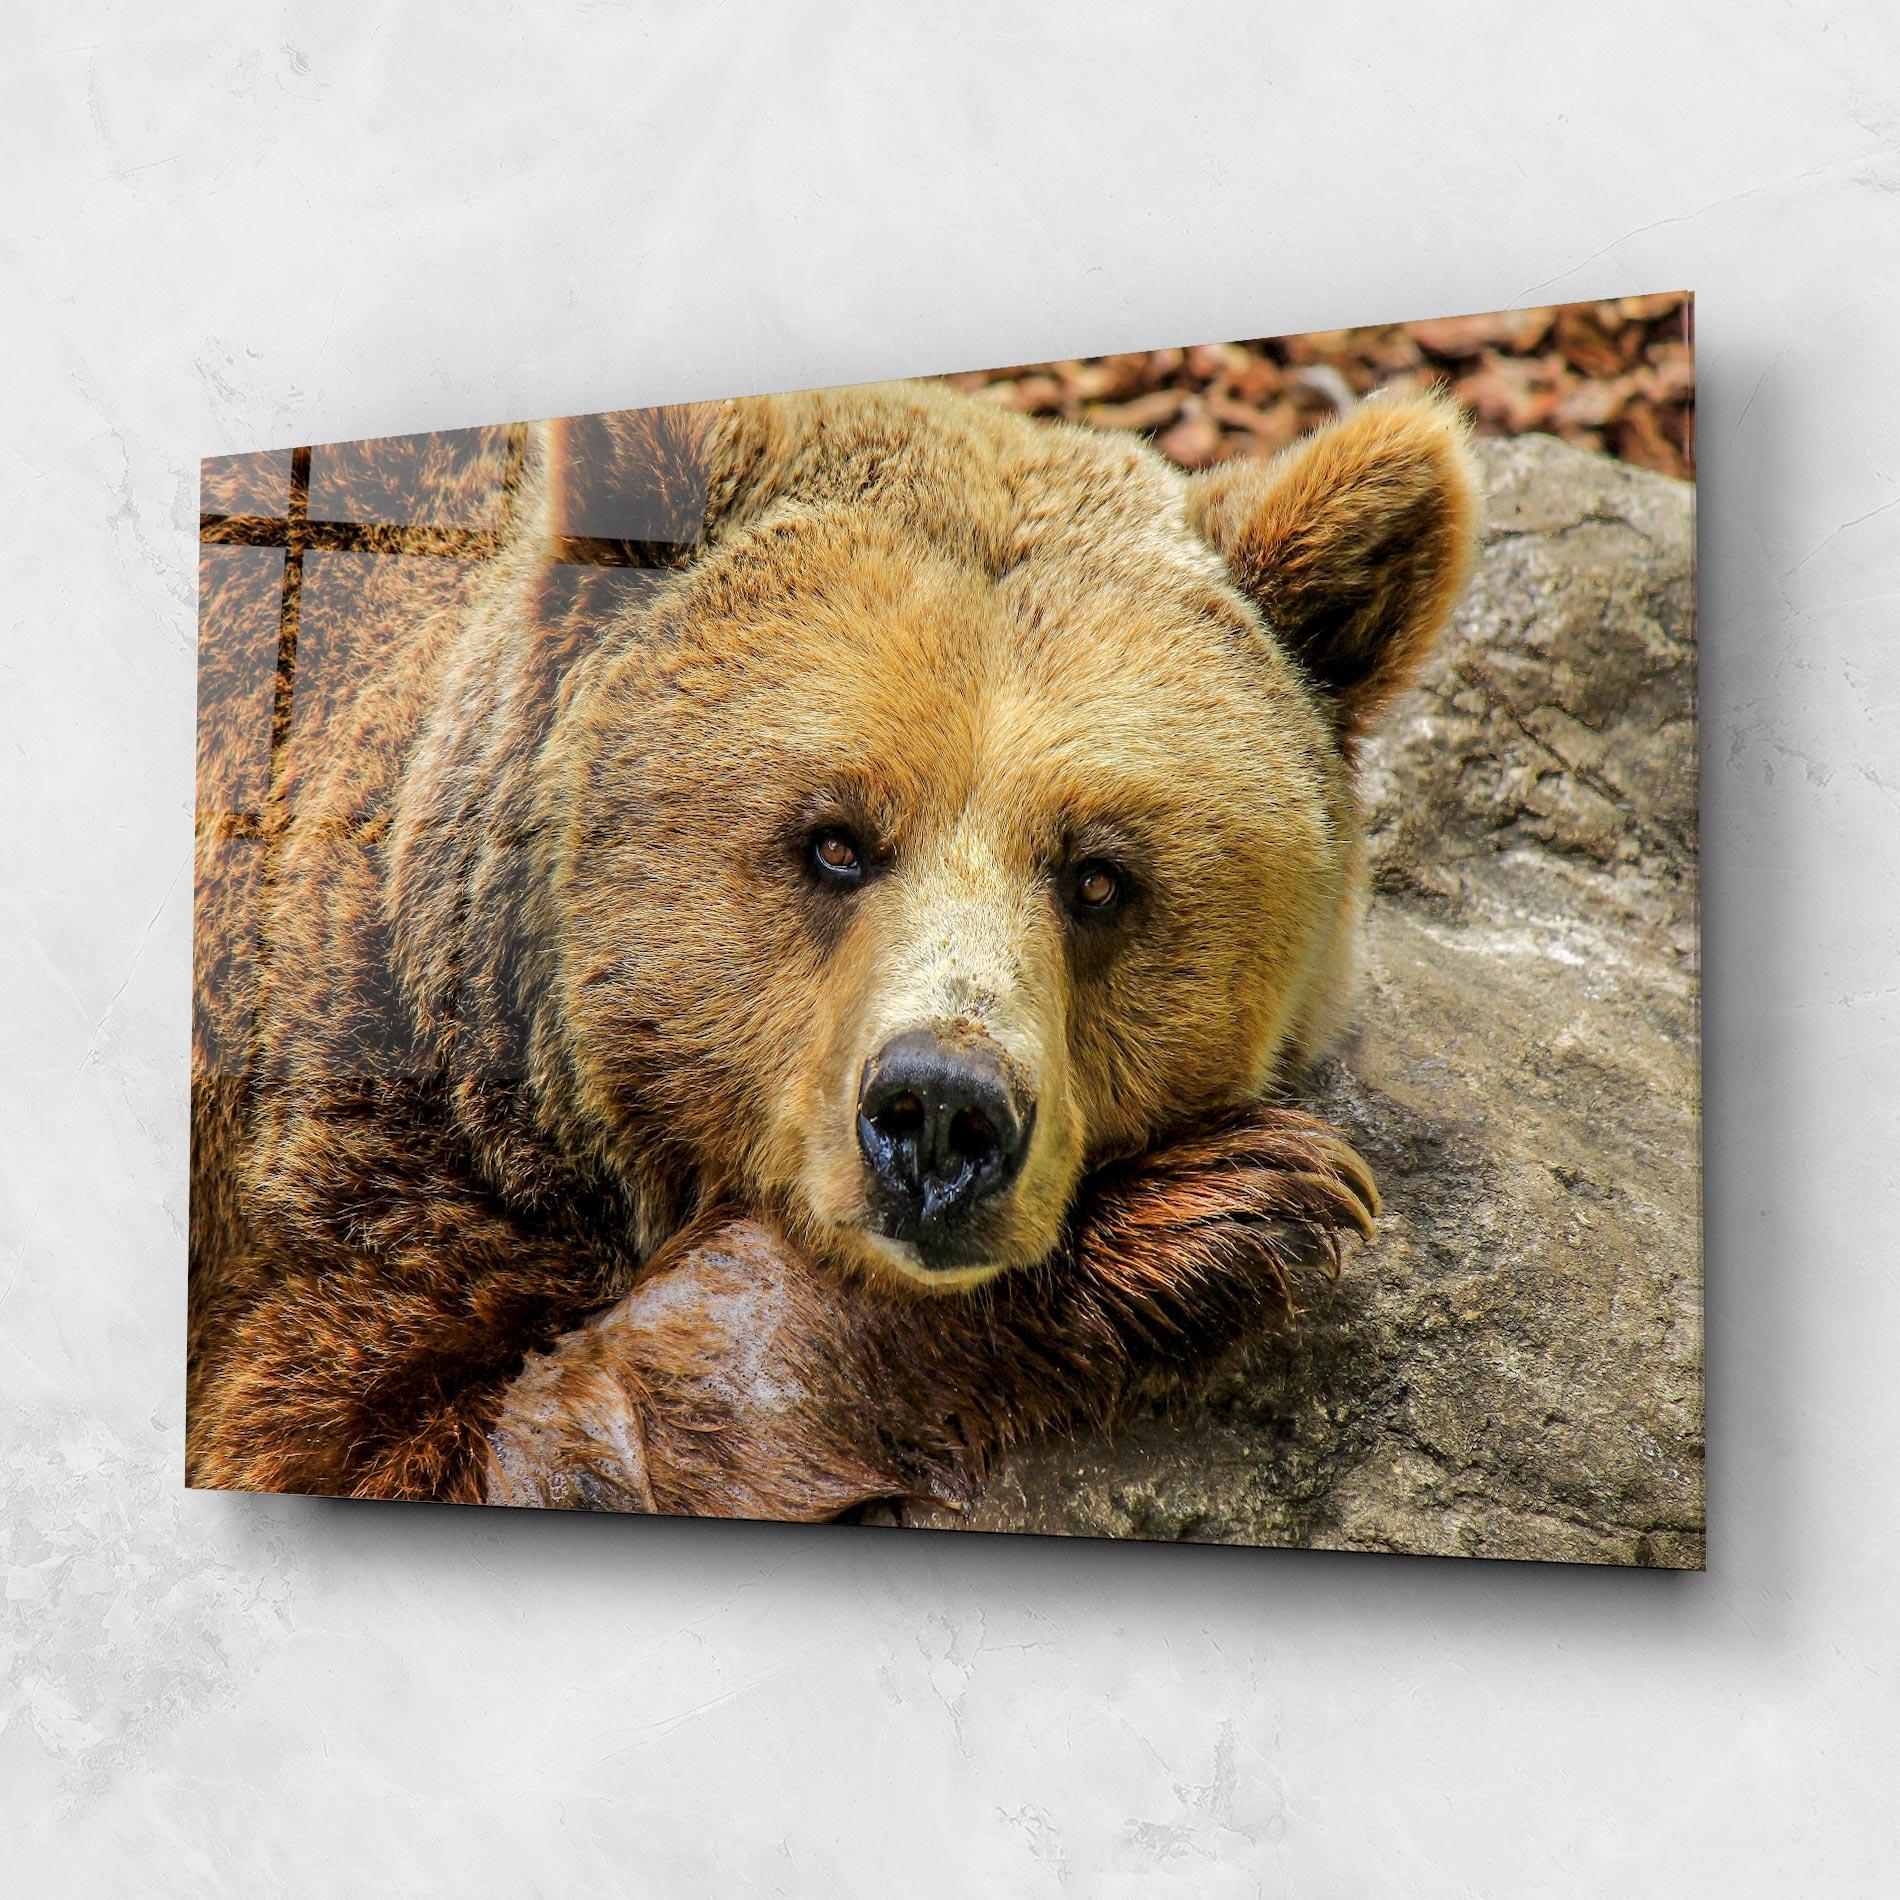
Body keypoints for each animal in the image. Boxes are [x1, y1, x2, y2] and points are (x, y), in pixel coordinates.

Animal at [188, 376, 1477, 1518]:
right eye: (835, 840)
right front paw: (1214, 1211)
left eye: (1098, 875)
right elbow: (436, 1441)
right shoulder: (368, 1170)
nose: (941, 1114)